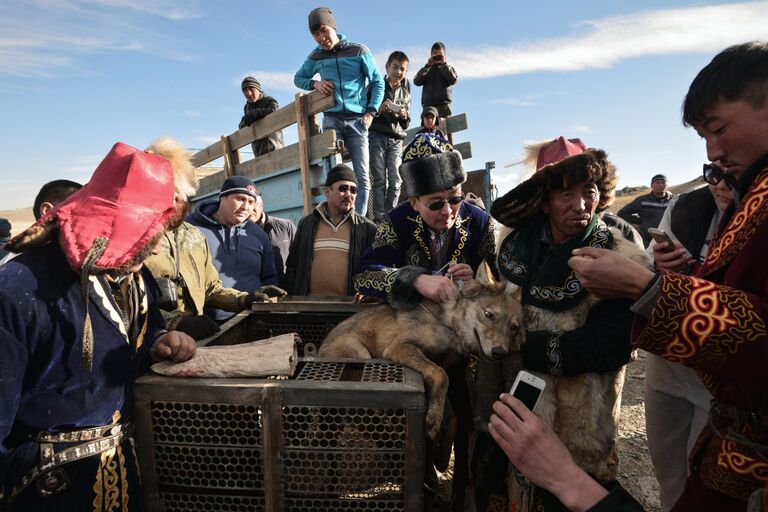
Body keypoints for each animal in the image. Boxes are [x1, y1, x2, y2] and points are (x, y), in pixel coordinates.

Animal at [316, 280, 520, 440]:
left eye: (514, 328)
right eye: (489, 315)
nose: (500, 353)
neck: (448, 323)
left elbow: (449, 409)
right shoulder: (400, 347)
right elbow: (441, 375)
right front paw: (434, 421)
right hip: (360, 353)